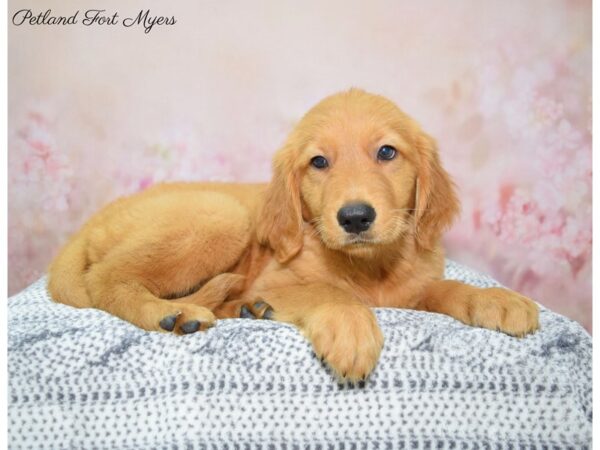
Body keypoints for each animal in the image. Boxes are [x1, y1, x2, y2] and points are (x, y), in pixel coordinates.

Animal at [49, 89, 540, 382]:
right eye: (318, 162)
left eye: (387, 153)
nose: (355, 217)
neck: (369, 267)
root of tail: (91, 222)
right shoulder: (275, 279)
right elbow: (327, 291)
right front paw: (350, 327)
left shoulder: (413, 290)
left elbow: (445, 287)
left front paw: (496, 299)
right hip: (223, 216)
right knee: (106, 280)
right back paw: (171, 313)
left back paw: (244, 309)